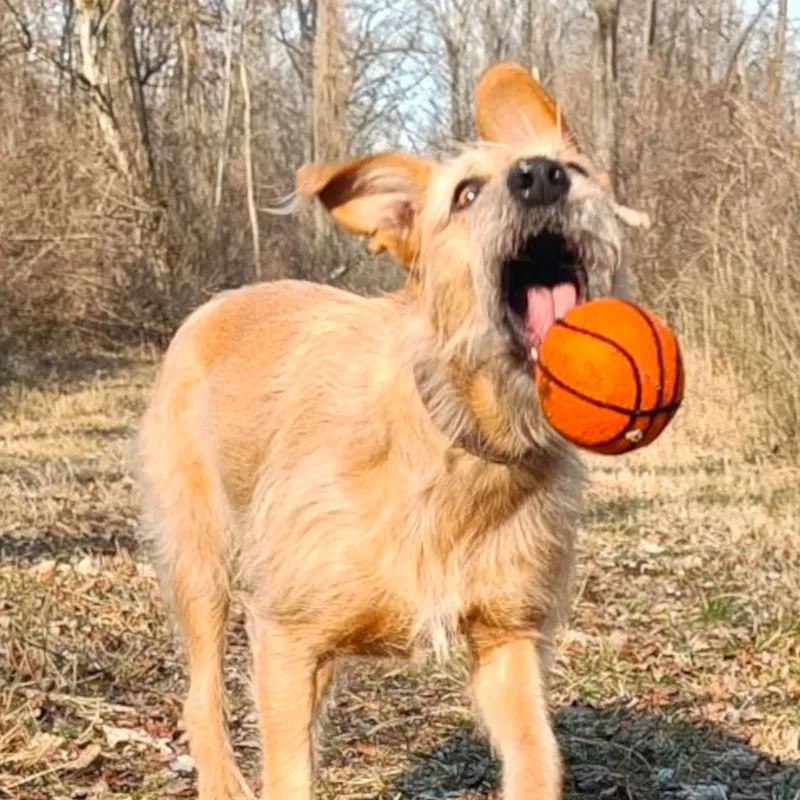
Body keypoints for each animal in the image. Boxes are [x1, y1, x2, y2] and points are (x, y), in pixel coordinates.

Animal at [136, 62, 648, 800]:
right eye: (465, 193)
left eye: (577, 168)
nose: (542, 176)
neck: (459, 440)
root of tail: (214, 304)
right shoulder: (286, 636)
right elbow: (288, 772)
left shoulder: (507, 639)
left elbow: (536, 755)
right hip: (200, 563)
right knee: (202, 697)